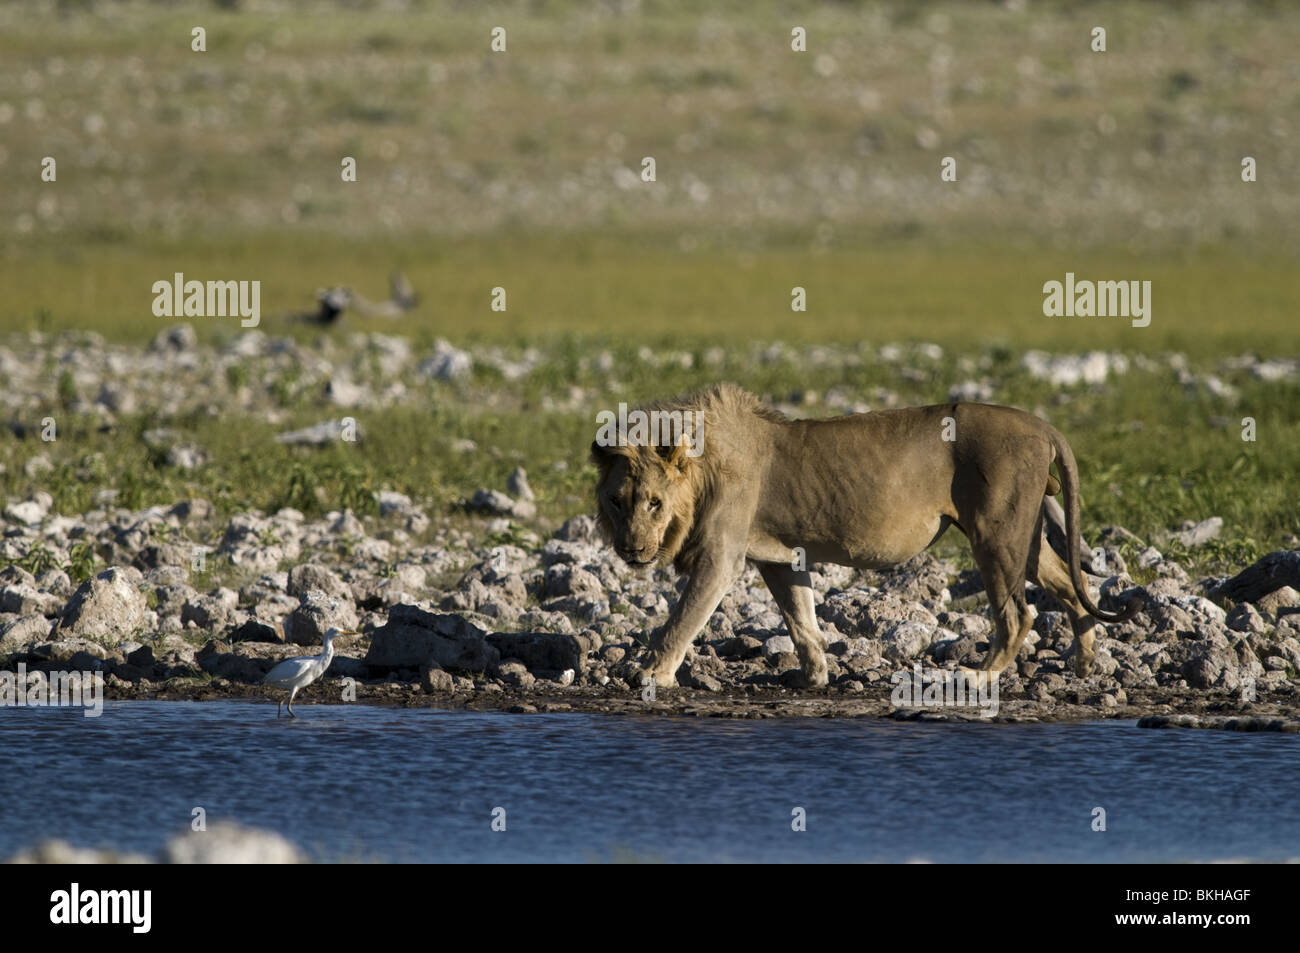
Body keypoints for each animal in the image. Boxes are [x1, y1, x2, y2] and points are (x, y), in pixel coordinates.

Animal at [595, 382, 1144, 686]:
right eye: (617, 501)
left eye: (654, 503)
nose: (631, 549)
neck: (703, 467)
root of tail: (1041, 424)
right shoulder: (779, 556)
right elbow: (801, 619)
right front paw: (814, 675)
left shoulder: (720, 556)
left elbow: (681, 619)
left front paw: (649, 674)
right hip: (1021, 537)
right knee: (1072, 588)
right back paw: (1085, 667)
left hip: (994, 534)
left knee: (1017, 615)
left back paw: (975, 678)